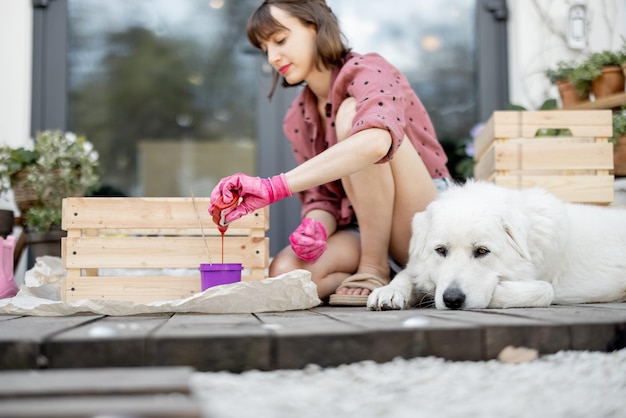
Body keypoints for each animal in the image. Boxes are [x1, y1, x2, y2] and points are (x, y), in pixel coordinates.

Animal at [366, 180, 624, 310]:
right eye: (440, 251)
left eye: (482, 251)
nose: (452, 300)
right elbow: (406, 275)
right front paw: (388, 292)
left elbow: (544, 290)